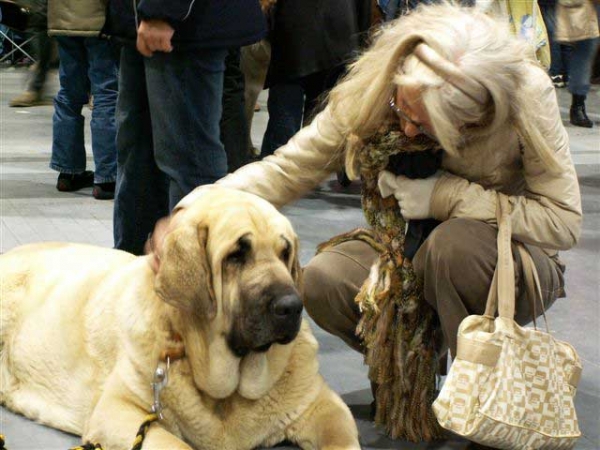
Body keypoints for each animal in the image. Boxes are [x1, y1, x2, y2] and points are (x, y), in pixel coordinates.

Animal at [0, 187, 358, 450]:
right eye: (236, 256)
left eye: (286, 254)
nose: (292, 306)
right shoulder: (119, 410)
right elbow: (176, 445)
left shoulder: (321, 405)